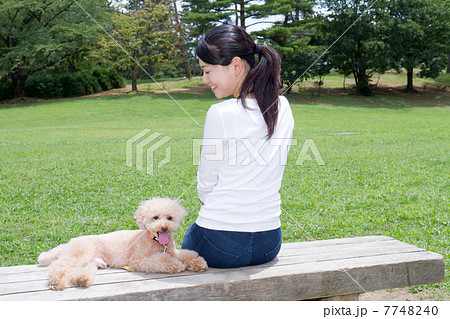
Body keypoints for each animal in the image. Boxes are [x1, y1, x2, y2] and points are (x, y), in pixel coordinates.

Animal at [38, 198, 207, 290]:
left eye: (170, 217)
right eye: (155, 217)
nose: (164, 227)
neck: (155, 241)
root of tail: (69, 242)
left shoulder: (173, 251)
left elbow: (187, 254)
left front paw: (198, 263)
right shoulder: (138, 260)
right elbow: (163, 260)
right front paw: (176, 265)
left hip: (88, 260)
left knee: (76, 271)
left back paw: (82, 279)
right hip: (79, 254)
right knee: (58, 267)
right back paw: (57, 282)